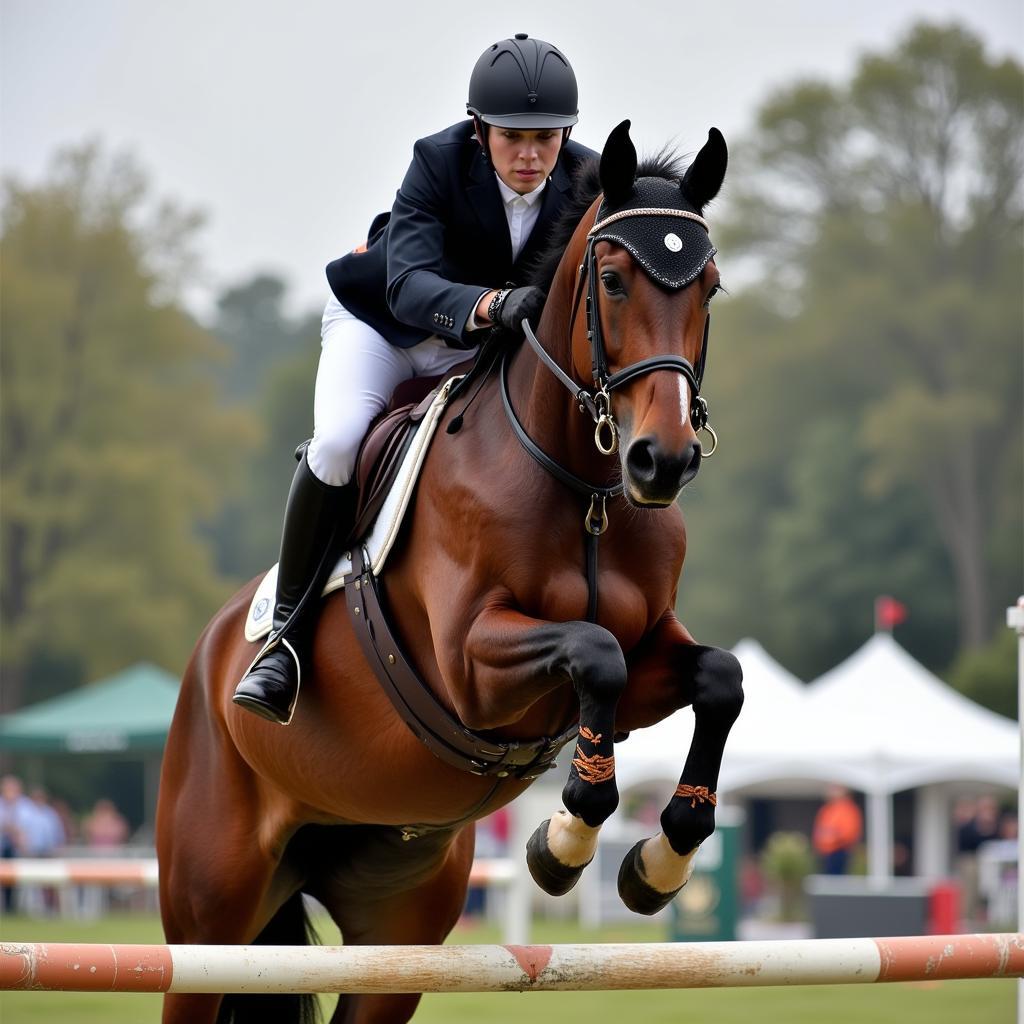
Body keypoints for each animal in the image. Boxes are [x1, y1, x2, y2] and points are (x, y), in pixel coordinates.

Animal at [155, 123, 741, 1024]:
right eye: (611, 281)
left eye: (708, 289)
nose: (663, 461)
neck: (585, 489)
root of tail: (206, 663)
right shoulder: (473, 667)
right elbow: (595, 655)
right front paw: (562, 847)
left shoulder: (648, 657)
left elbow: (718, 678)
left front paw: (658, 863)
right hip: (207, 922)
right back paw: (269, 674)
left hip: (397, 935)